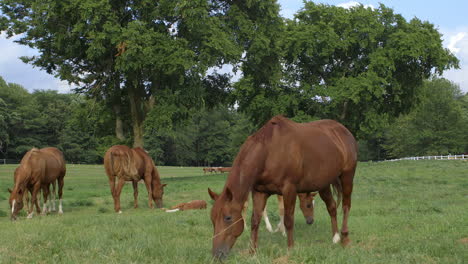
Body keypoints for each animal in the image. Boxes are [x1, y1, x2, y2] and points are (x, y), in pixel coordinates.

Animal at [207, 116, 356, 260]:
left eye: (228, 218)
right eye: (212, 219)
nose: (217, 254)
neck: (269, 151)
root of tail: (343, 131)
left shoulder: (289, 189)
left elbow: (288, 220)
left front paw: (290, 249)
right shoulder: (259, 192)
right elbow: (255, 220)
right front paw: (252, 252)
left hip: (347, 176)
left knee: (346, 206)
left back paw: (345, 238)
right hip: (323, 184)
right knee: (332, 206)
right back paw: (335, 237)